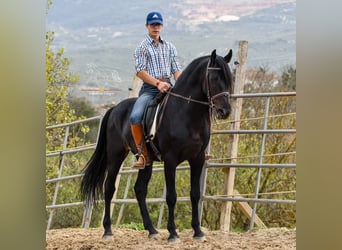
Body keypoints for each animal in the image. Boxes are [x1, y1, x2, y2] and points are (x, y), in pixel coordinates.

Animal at [81, 48, 232, 242]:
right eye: (213, 78)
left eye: (229, 79)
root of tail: (114, 109)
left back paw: (151, 230)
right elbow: (171, 196)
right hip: (116, 155)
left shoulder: (197, 159)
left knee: (139, 190)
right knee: (109, 188)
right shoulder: (170, 160)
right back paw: (107, 231)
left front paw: (198, 232)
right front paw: (173, 233)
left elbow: (195, 194)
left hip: (147, 160)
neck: (186, 114)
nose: (224, 111)